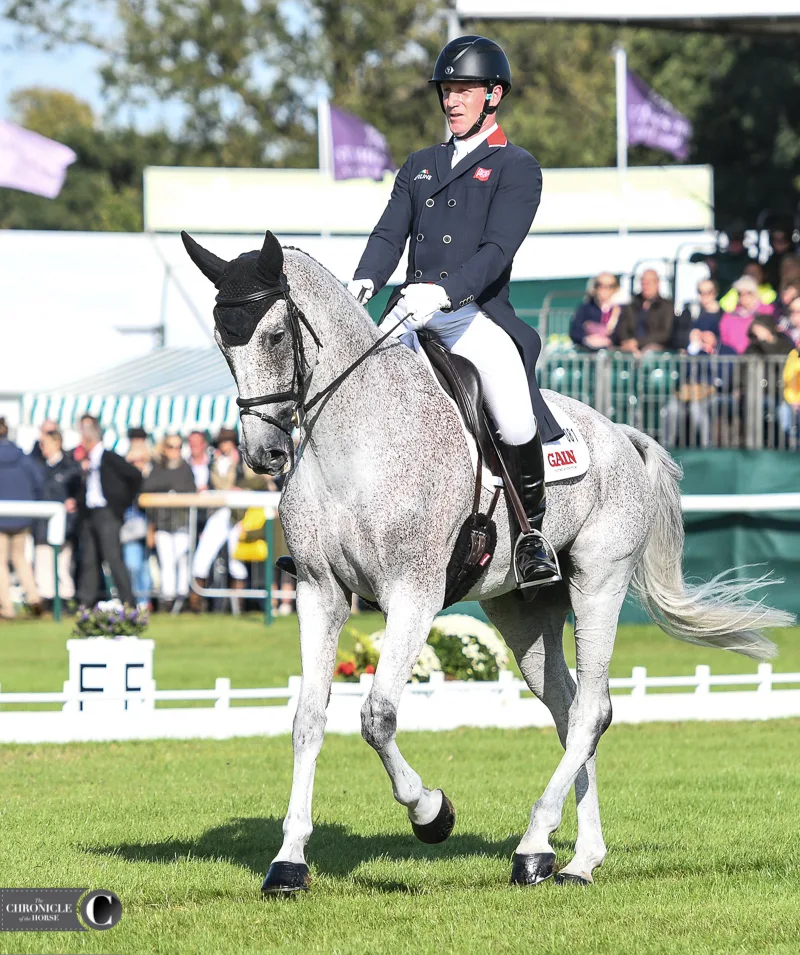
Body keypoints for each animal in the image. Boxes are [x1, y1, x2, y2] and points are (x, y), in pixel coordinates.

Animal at [184, 233, 792, 896]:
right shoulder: (320, 594)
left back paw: (536, 845)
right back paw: (575, 856)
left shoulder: (413, 594)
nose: (264, 454)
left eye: (273, 336)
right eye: (222, 342)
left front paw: (432, 814)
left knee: (591, 711)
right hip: (521, 610)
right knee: (569, 708)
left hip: (597, 584)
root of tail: (619, 433)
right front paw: (289, 861)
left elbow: (377, 716)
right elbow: (307, 720)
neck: (354, 442)